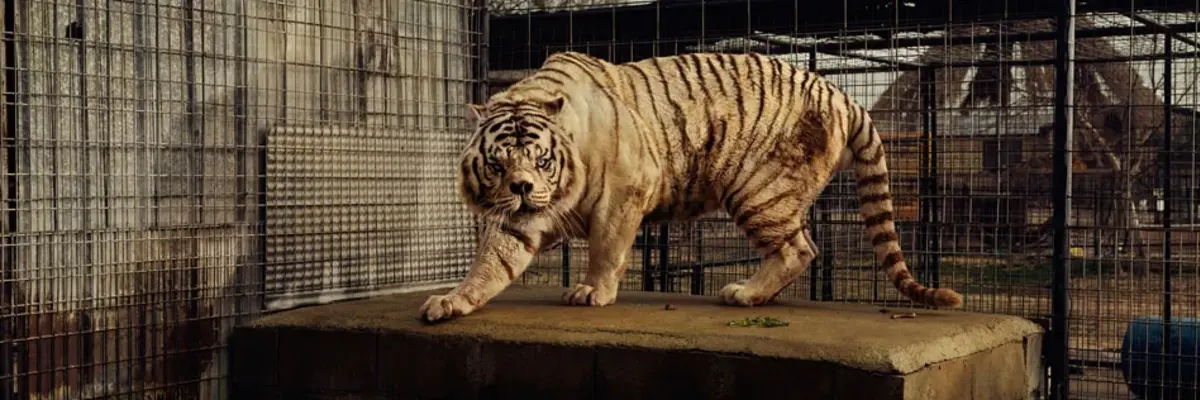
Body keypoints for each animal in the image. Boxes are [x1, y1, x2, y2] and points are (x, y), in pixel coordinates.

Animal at [418, 51, 964, 323]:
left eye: (540, 158)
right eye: (499, 163)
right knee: (803, 246)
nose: (523, 188)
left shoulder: (625, 190)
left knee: (800, 248)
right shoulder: (517, 217)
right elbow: (492, 261)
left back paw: (744, 295)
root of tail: (841, 94)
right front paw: (452, 301)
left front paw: (592, 292)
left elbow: (606, 248)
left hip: (758, 190)